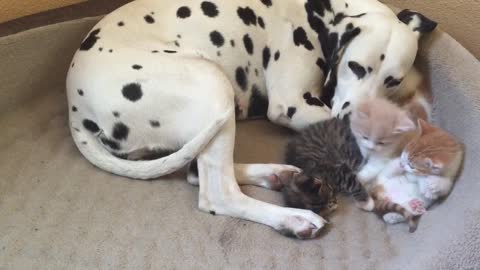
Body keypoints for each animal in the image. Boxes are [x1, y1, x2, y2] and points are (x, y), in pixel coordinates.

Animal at [65, 0, 436, 240]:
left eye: (392, 80)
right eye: (356, 67)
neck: (320, 12)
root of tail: (75, 109)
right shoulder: (291, 105)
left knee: (196, 172)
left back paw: (276, 174)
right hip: (213, 86)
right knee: (218, 193)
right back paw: (293, 218)